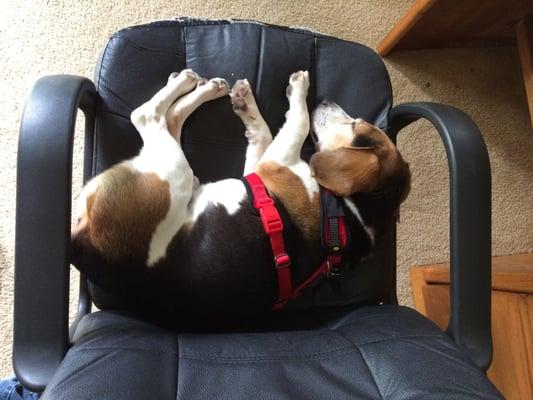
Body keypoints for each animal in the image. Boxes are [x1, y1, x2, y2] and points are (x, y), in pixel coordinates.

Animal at [70, 69, 410, 324]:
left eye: (356, 124)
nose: (325, 99)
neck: (348, 214)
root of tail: (82, 245)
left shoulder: (272, 165)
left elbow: (298, 123)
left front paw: (299, 88)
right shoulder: (261, 170)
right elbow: (264, 132)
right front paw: (249, 105)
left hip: (170, 176)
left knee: (146, 116)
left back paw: (189, 83)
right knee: (170, 120)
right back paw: (200, 87)